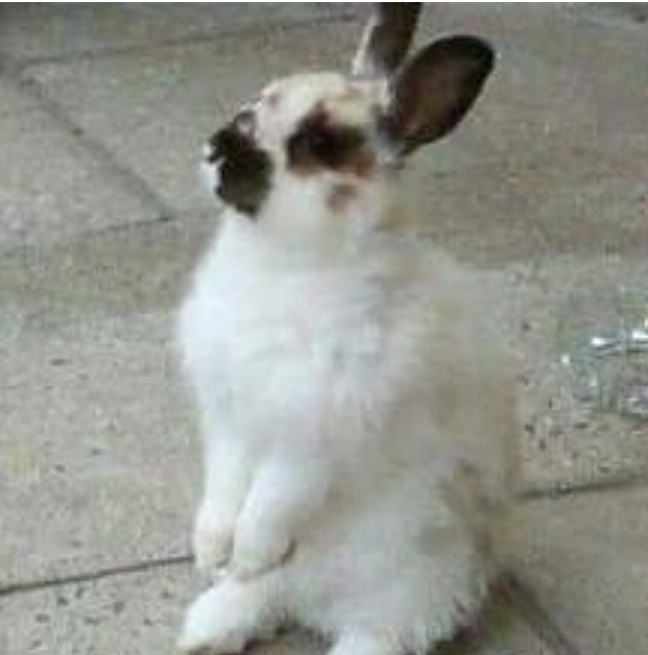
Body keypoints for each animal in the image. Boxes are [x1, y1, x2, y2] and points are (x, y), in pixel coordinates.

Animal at [177, 5, 519, 655]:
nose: (214, 149)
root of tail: (319, 606)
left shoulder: (315, 436)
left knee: (374, 629)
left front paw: (248, 551)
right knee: (261, 598)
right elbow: (224, 486)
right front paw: (211, 552)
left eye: (317, 144)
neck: (288, 263)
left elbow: (271, 501)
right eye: (253, 106)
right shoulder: (229, 416)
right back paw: (203, 628)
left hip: (408, 590)